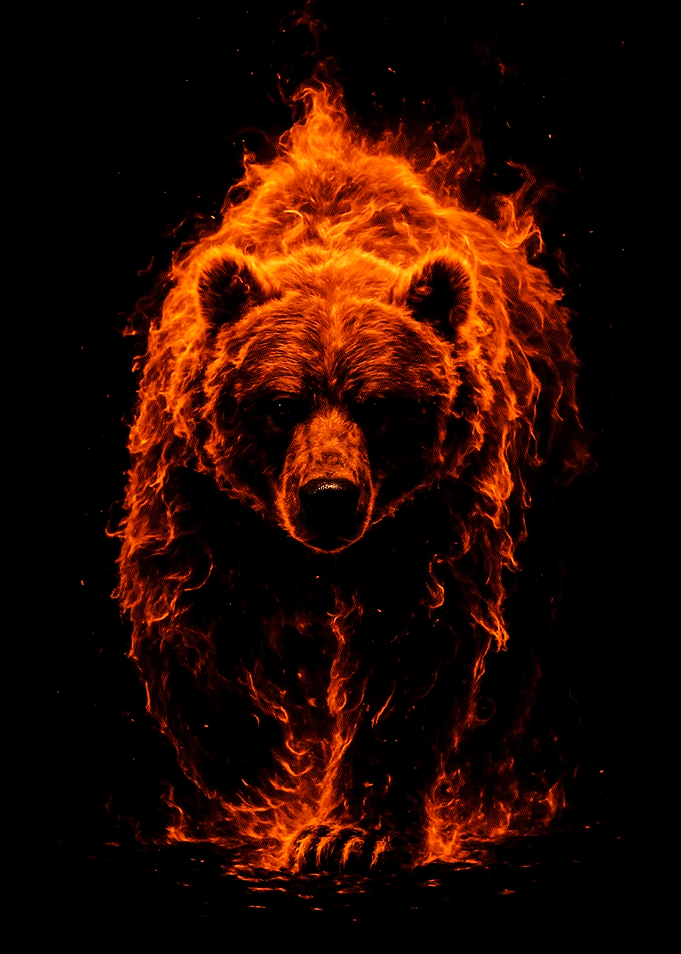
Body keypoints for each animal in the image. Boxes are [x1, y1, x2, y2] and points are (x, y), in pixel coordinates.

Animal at [116, 87, 588, 872]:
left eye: (380, 405)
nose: (329, 498)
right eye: (281, 403)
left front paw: (346, 833)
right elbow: (195, 613)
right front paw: (257, 777)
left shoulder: (436, 504)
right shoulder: (198, 487)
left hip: (542, 488)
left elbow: (410, 646)